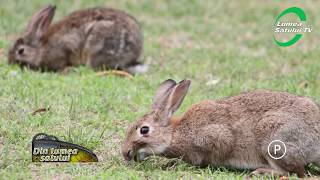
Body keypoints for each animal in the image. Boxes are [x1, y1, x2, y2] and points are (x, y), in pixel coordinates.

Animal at [121, 79, 320, 178]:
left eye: (144, 130)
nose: (125, 153)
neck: (174, 133)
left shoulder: (214, 138)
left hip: (274, 140)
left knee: (294, 171)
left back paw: (261, 172)